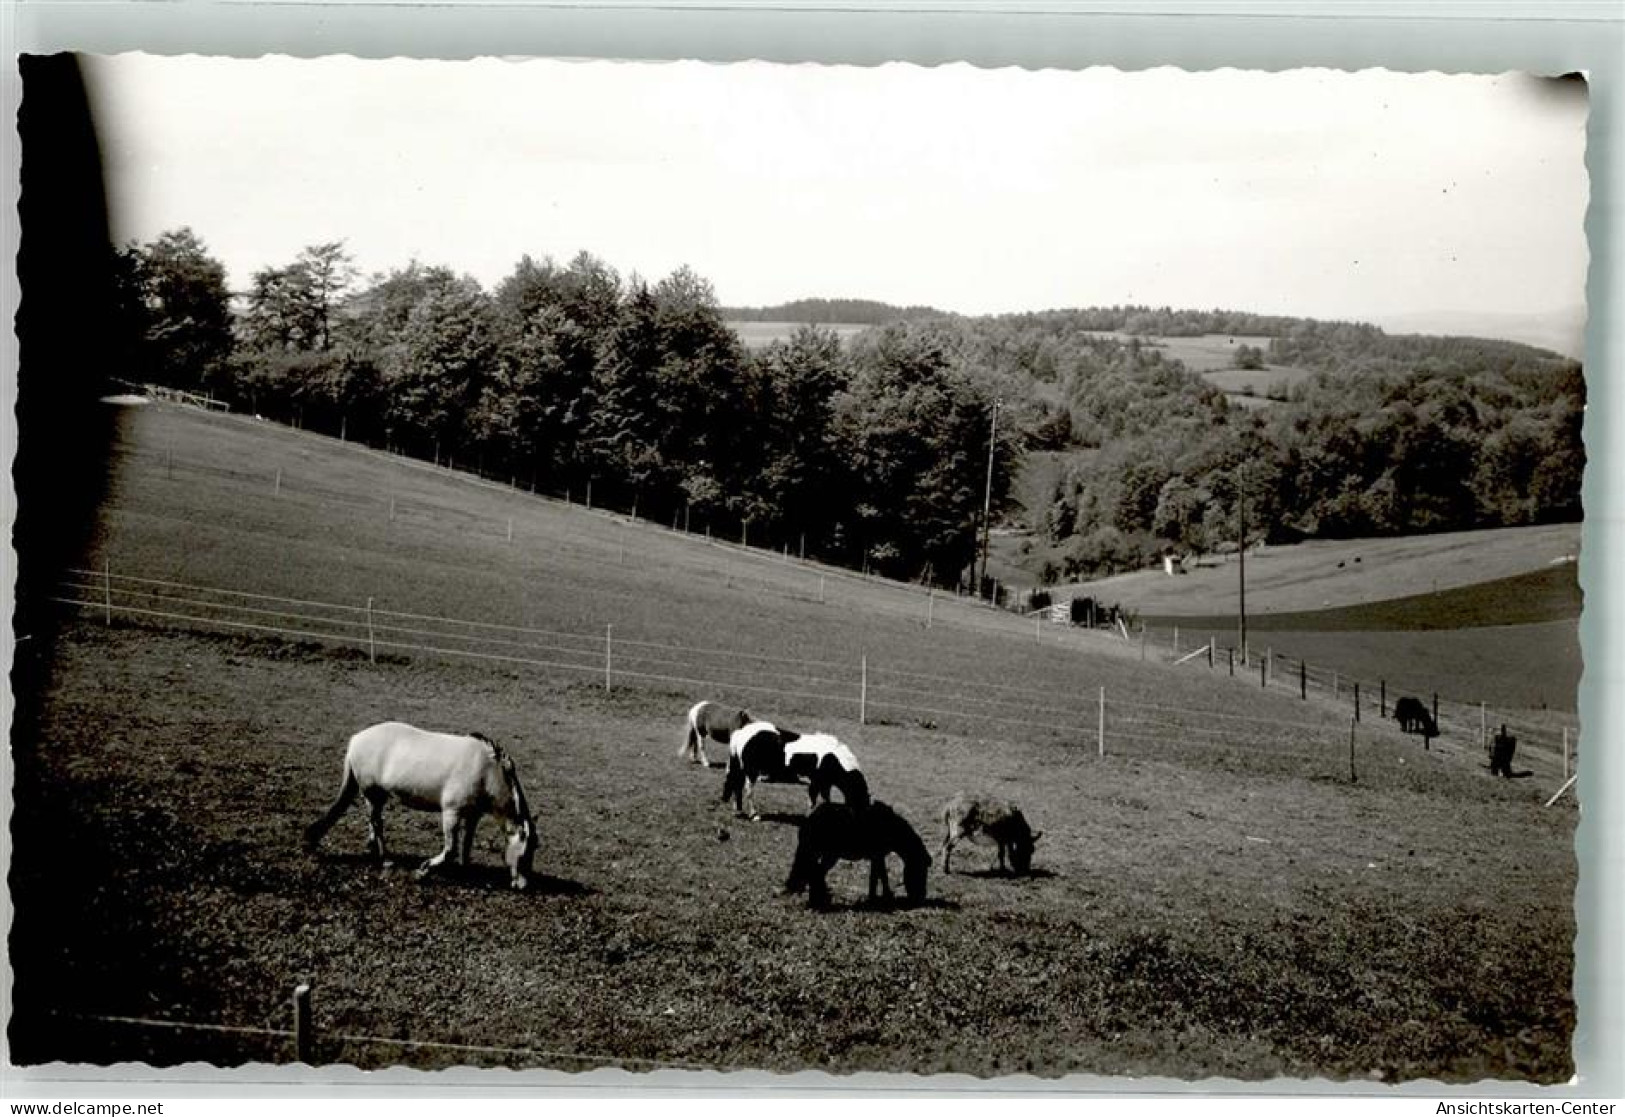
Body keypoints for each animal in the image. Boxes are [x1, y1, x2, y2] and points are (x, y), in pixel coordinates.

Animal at [302, 725, 536, 890]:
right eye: (525, 854)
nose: (522, 886)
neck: (486, 771)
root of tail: (356, 740)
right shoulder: (451, 813)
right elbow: (450, 849)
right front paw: (423, 871)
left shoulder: (472, 816)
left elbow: (466, 846)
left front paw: (464, 872)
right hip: (373, 794)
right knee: (377, 823)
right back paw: (386, 859)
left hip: (375, 797)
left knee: (372, 821)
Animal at [724, 725, 871, 822]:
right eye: (859, 800)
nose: (860, 821)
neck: (831, 758)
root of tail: (742, 732)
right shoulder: (815, 784)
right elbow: (812, 802)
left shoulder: (825, 784)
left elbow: (826, 801)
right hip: (751, 773)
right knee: (748, 792)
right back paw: (754, 815)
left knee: (737, 787)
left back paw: (738, 811)